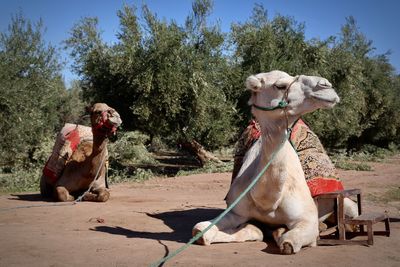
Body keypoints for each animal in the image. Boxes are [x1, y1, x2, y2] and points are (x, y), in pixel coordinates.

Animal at [193, 70, 356, 254]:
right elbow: (201, 229)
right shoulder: (236, 213)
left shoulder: (306, 219)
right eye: (280, 86)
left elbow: (289, 241)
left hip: (345, 204)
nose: (326, 85)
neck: (268, 201)